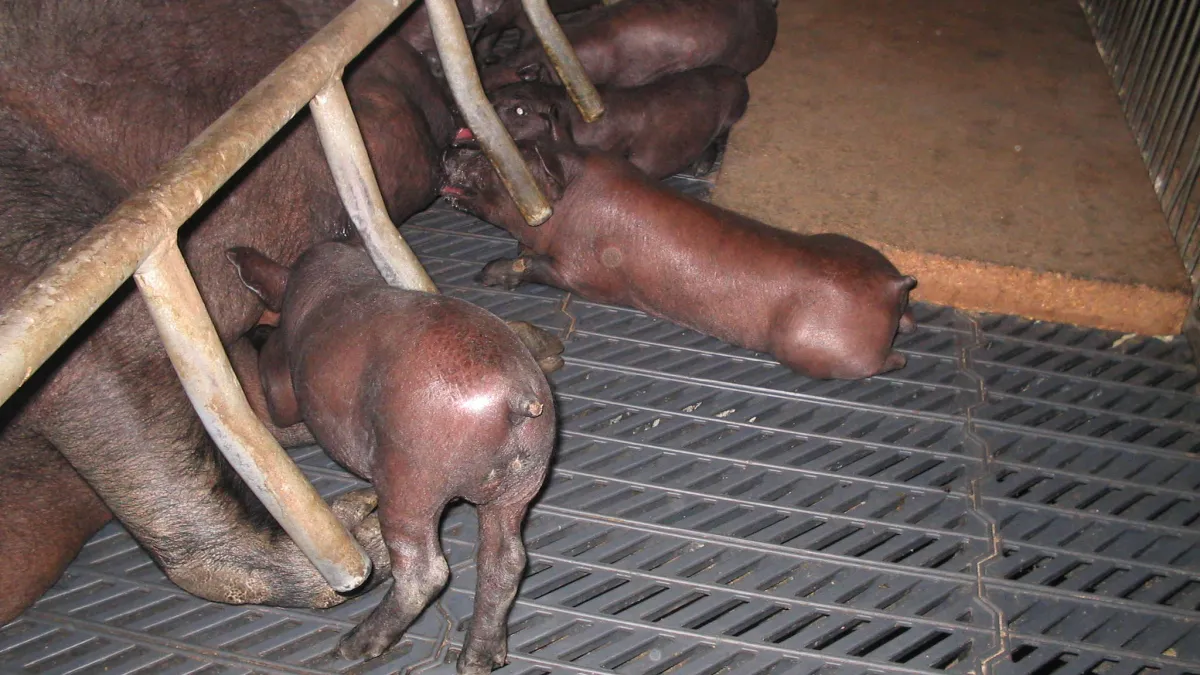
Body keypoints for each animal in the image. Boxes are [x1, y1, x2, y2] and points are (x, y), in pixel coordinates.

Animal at [228, 240, 555, 671]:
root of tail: (517, 398)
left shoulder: (285, 385)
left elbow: (279, 402)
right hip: (519, 484)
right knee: (505, 560)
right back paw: (479, 660)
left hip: (409, 483)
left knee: (424, 571)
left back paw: (355, 645)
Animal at [441, 131, 918, 380]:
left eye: (499, 164)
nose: (447, 146)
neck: (573, 202)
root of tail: (893, 285)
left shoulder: (592, 275)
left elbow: (545, 268)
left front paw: (487, 273)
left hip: (817, 346)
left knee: (889, 360)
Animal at [483, 65, 749, 179]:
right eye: (497, 92)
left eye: (520, 111)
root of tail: (738, 75)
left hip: (732, 114)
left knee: (720, 140)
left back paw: (700, 170)